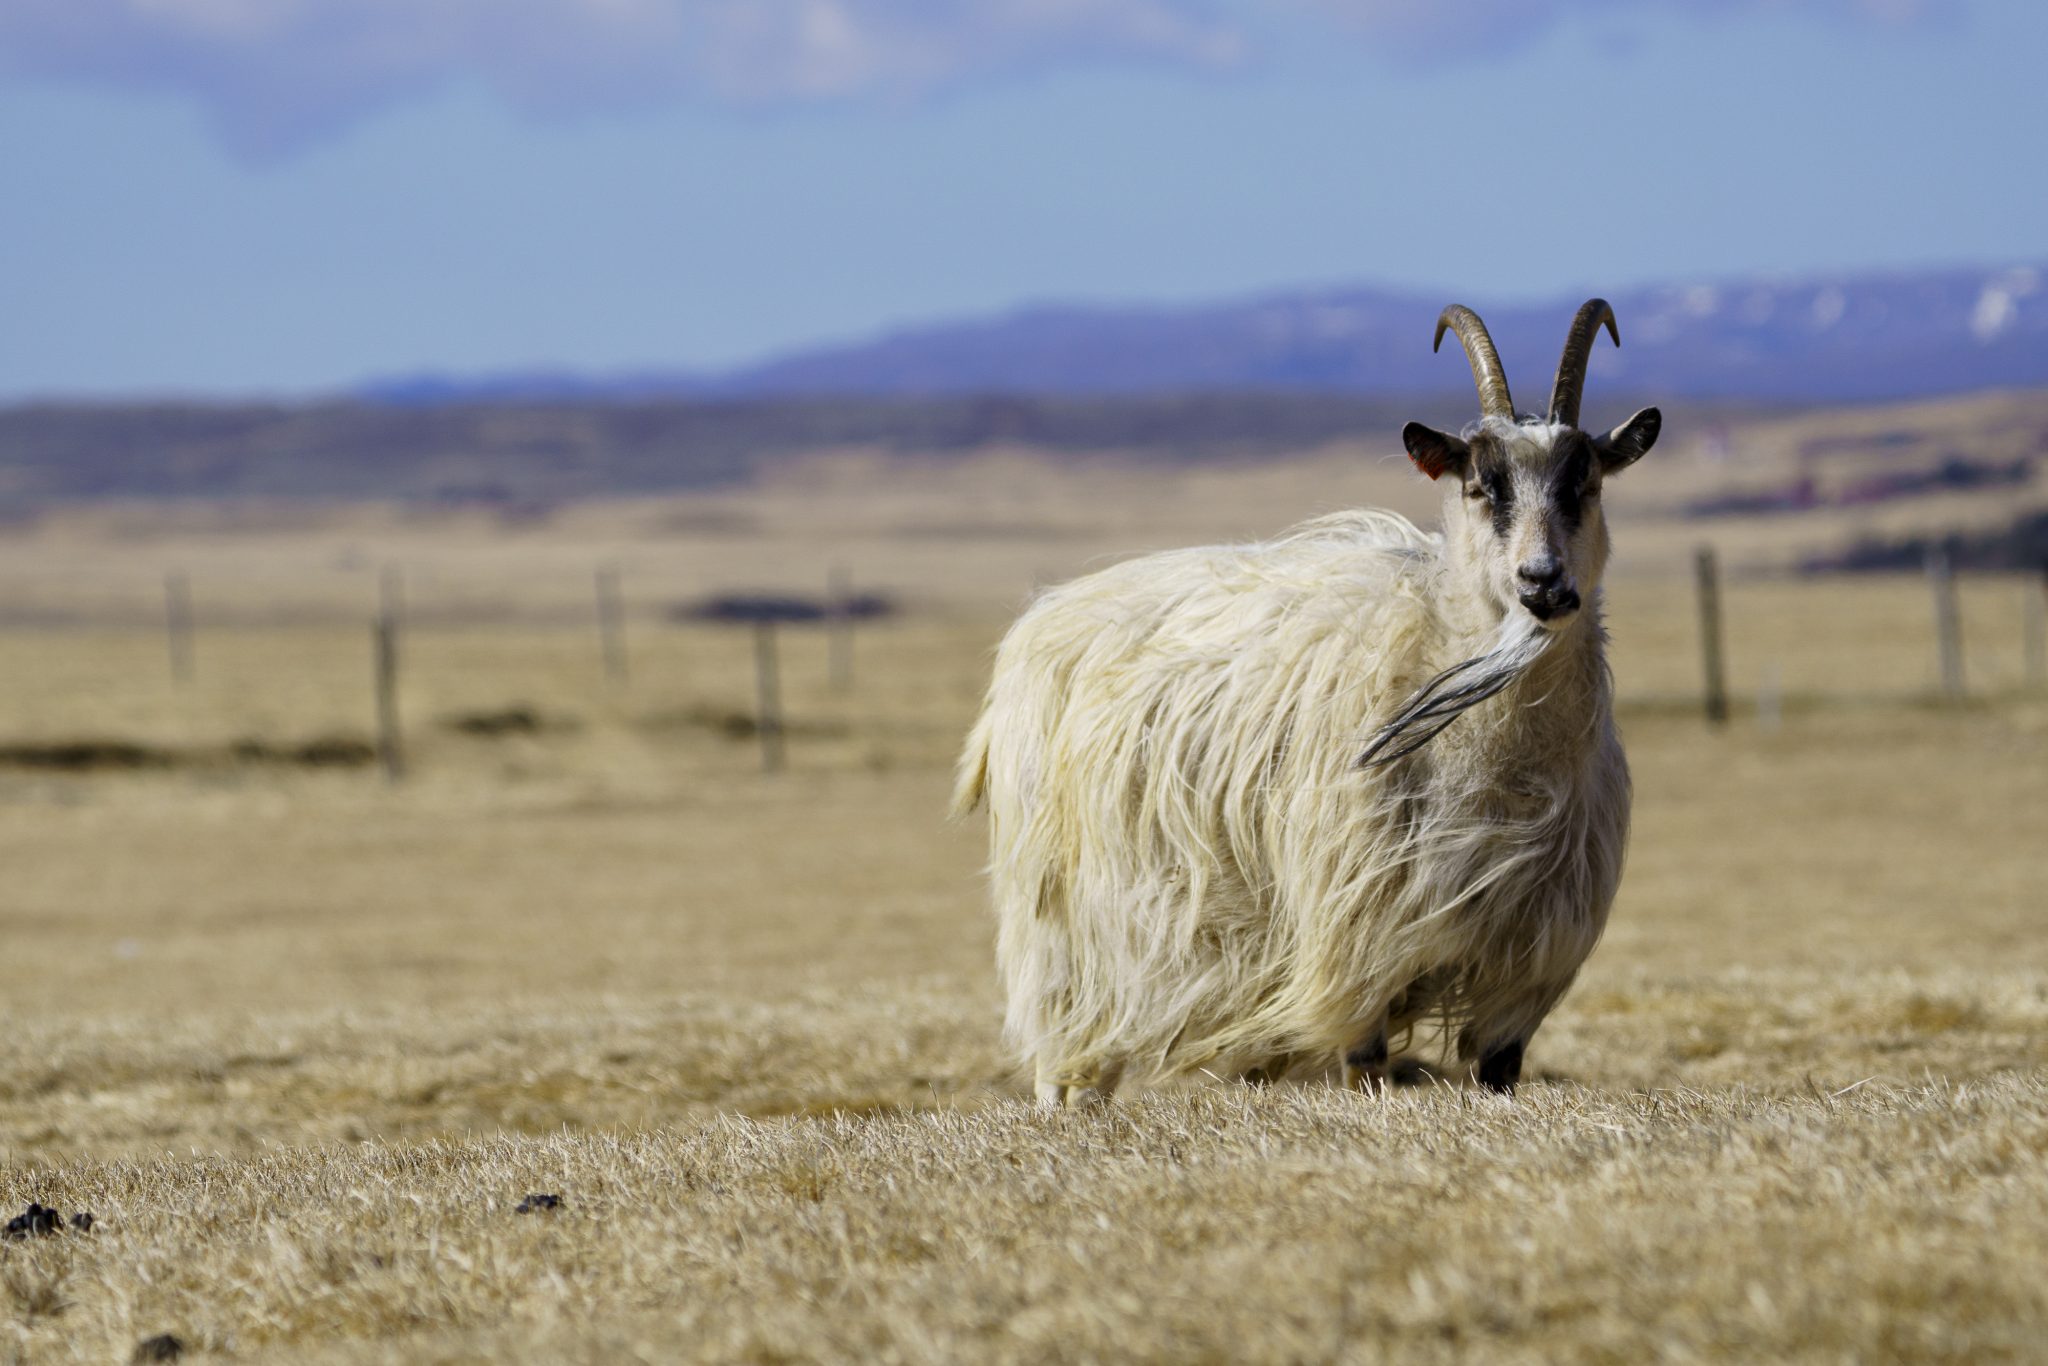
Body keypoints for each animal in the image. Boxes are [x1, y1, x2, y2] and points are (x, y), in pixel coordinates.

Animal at [953, 300, 1661, 1105]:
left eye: (1586, 484)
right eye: (1482, 487)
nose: (1542, 583)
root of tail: (1042, 616)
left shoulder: (1524, 964)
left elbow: (1499, 1076)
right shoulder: (1356, 945)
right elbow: (1366, 1073)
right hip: (1061, 925)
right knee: (1063, 1056)